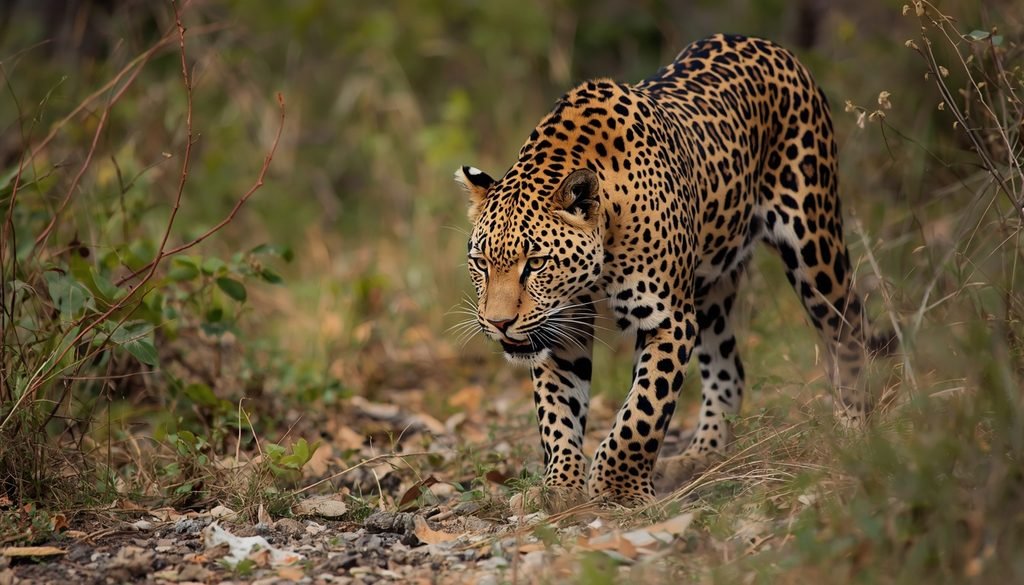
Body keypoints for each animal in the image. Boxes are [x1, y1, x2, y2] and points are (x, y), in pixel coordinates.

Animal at [455, 33, 887, 511]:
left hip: (814, 243)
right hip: (711, 290)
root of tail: (767, 45)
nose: (498, 323)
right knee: (730, 367)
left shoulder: (668, 318)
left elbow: (643, 411)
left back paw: (855, 428)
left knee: (847, 327)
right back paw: (700, 455)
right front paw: (559, 487)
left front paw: (617, 489)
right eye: (481, 263)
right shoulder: (561, 327)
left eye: (536, 263)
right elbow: (557, 410)